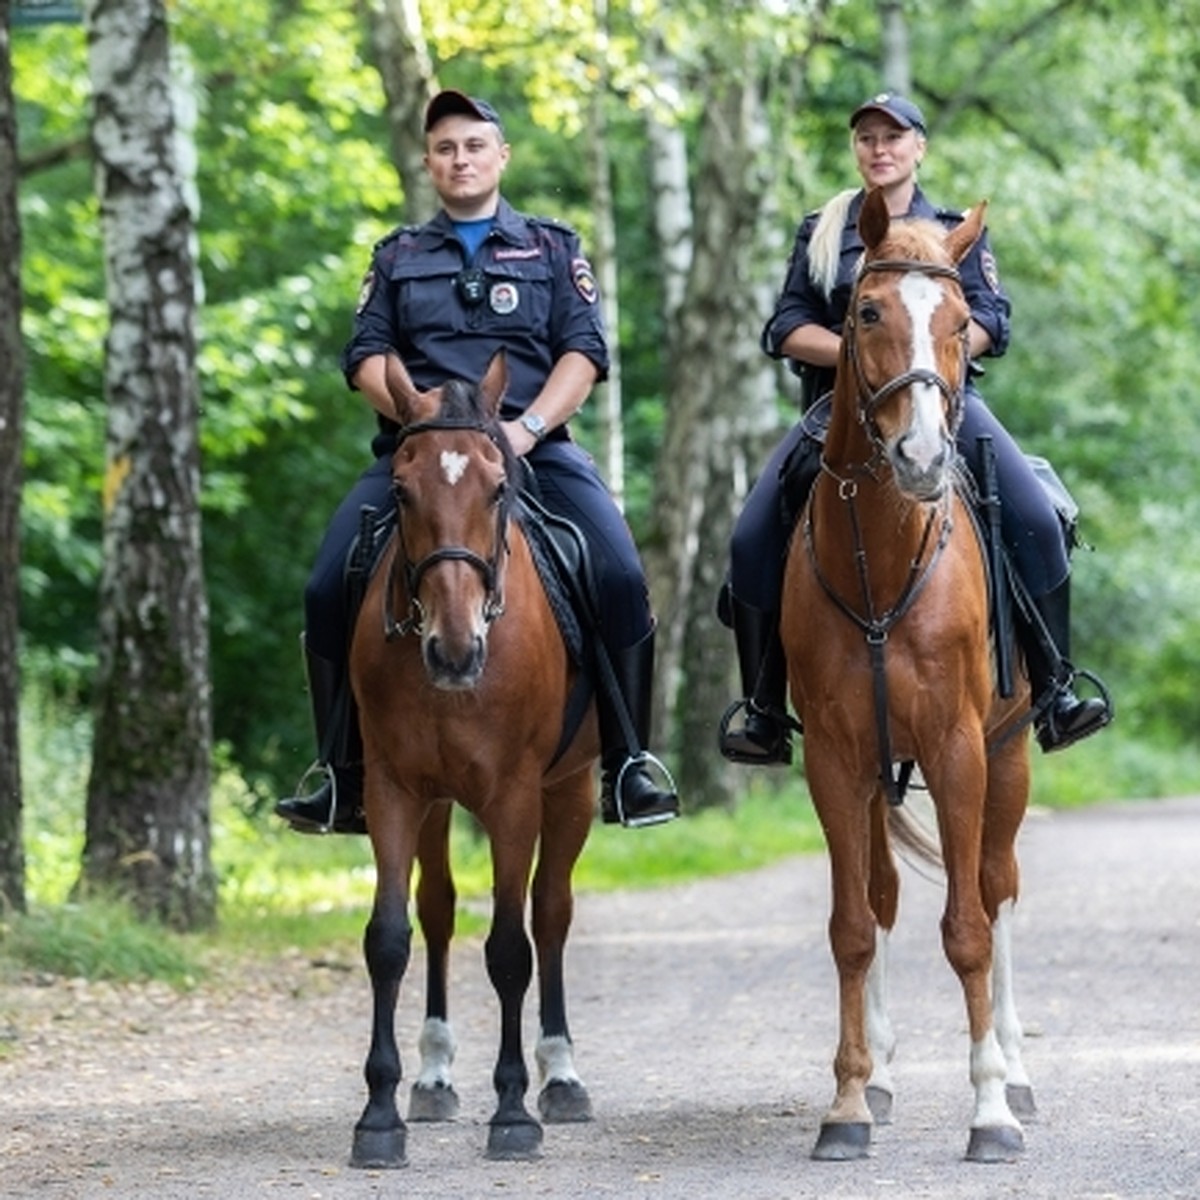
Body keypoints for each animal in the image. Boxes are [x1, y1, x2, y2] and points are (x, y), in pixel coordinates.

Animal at [348, 350, 600, 1166]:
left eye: (497, 487)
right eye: (402, 489)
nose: (454, 651)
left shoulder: (515, 798)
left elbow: (511, 948)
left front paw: (513, 1110)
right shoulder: (393, 791)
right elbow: (389, 939)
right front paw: (379, 1115)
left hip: (574, 790)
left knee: (551, 915)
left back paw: (561, 1076)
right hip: (435, 803)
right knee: (437, 911)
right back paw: (432, 1078)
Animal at [782, 187, 1036, 1161]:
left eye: (963, 322)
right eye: (866, 311)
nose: (923, 460)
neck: (884, 569)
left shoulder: (960, 751)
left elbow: (966, 930)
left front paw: (991, 1110)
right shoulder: (835, 759)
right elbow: (855, 927)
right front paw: (850, 1102)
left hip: (1009, 757)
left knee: (998, 891)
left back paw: (1018, 1067)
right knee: (886, 898)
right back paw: (884, 1075)